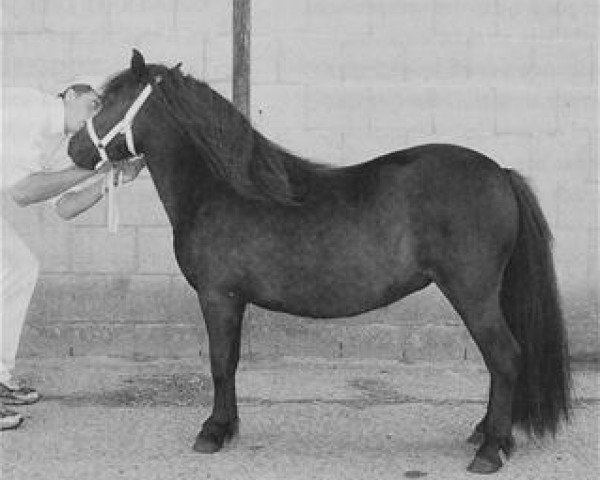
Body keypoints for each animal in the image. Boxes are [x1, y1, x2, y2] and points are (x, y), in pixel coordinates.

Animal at [68, 50, 568, 474]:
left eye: (110, 102)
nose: (74, 150)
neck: (221, 189)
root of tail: (499, 173)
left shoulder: (218, 297)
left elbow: (219, 362)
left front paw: (213, 432)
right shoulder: (233, 301)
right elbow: (231, 361)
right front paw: (229, 427)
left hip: (472, 293)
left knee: (504, 357)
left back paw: (490, 450)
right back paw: (486, 434)